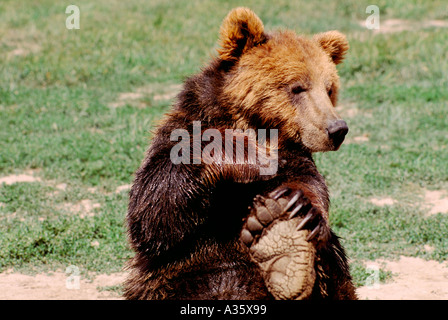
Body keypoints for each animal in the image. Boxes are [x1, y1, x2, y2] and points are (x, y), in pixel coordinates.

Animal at [122, 6, 356, 300]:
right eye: (297, 87)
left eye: (329, 89)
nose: (337, 129)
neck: (253, 125)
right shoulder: (181, 129)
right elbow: (153, 213)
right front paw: (247, 156)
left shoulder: (293, 153)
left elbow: (309, 185)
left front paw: (290, 211)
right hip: (172, 281)